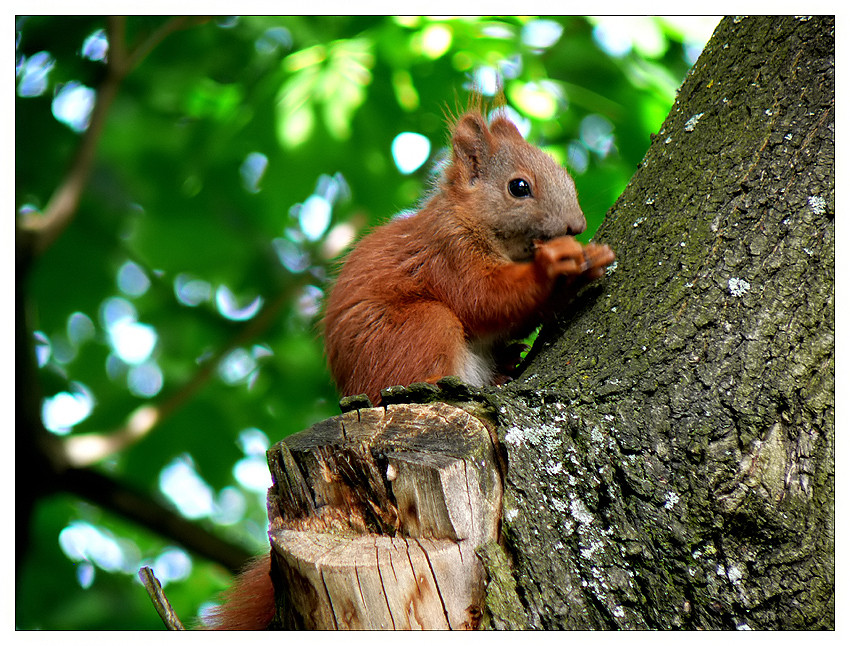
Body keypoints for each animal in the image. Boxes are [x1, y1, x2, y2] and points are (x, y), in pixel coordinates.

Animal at [205, 102, 616, 632]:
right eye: (519, 187)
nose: (576, 226)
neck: (469, 221)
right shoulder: (449, 257)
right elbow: (487, 299)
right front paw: (560, 269)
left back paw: (504, 366)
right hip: (423, 329)